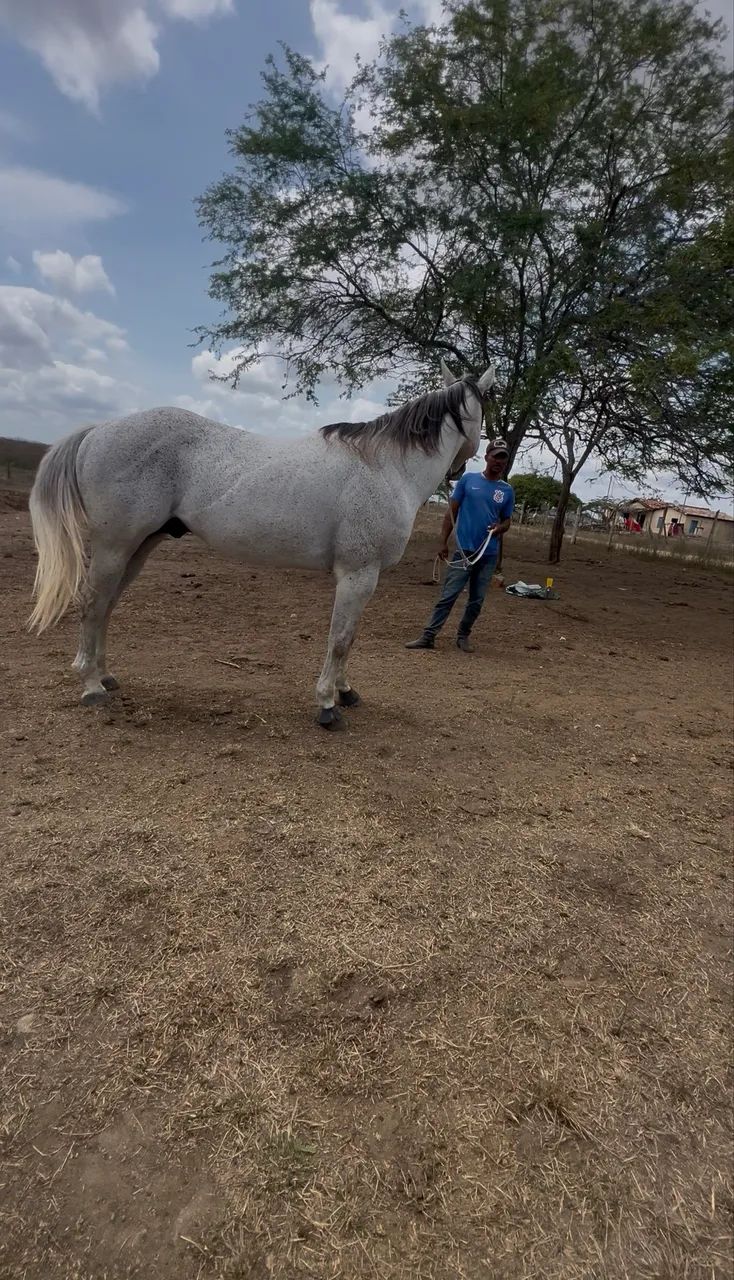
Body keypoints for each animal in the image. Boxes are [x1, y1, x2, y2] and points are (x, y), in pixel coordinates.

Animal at [28, 359, 494, 727]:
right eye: (485, 415)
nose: (461, 469)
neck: (385, 468)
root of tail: (98, 431)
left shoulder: (365, 578)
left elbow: (350, 637)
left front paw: (345, 691)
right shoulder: (358, 574)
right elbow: (340, 638)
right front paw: (328, 705)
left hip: (137, 548)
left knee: (106, 607)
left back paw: (105, 676)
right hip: (114, 546)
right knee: (92, 605)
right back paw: (91, 687)